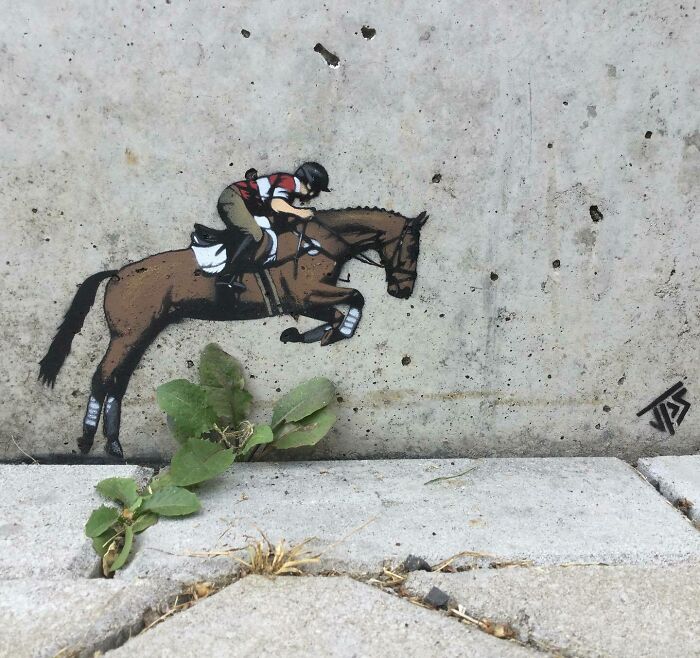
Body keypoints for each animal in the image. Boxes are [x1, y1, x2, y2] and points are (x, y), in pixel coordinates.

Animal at [39, 207, 428, 459]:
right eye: (411, 246)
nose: (402, 290)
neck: (316, 242)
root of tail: (117, 273)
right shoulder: (306, 295)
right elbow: (356, 298)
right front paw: (312, 334)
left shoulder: (309, 301)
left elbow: (342, 310)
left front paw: (307, 335)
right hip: (128, 335)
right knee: (102, 379)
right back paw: (88, 442)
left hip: (141, 334)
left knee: (117, 382)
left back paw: (114, 444)